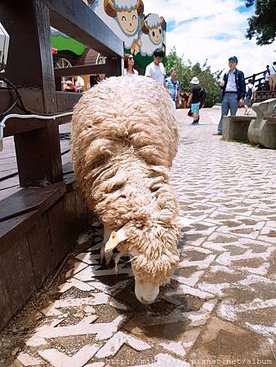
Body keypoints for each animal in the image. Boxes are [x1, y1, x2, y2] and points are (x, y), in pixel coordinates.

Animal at [70, 75, 181, 304]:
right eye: (132, 258)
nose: (147, 301)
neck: (128, 155)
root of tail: (125, 75)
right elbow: (107, 225)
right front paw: (105, 250)